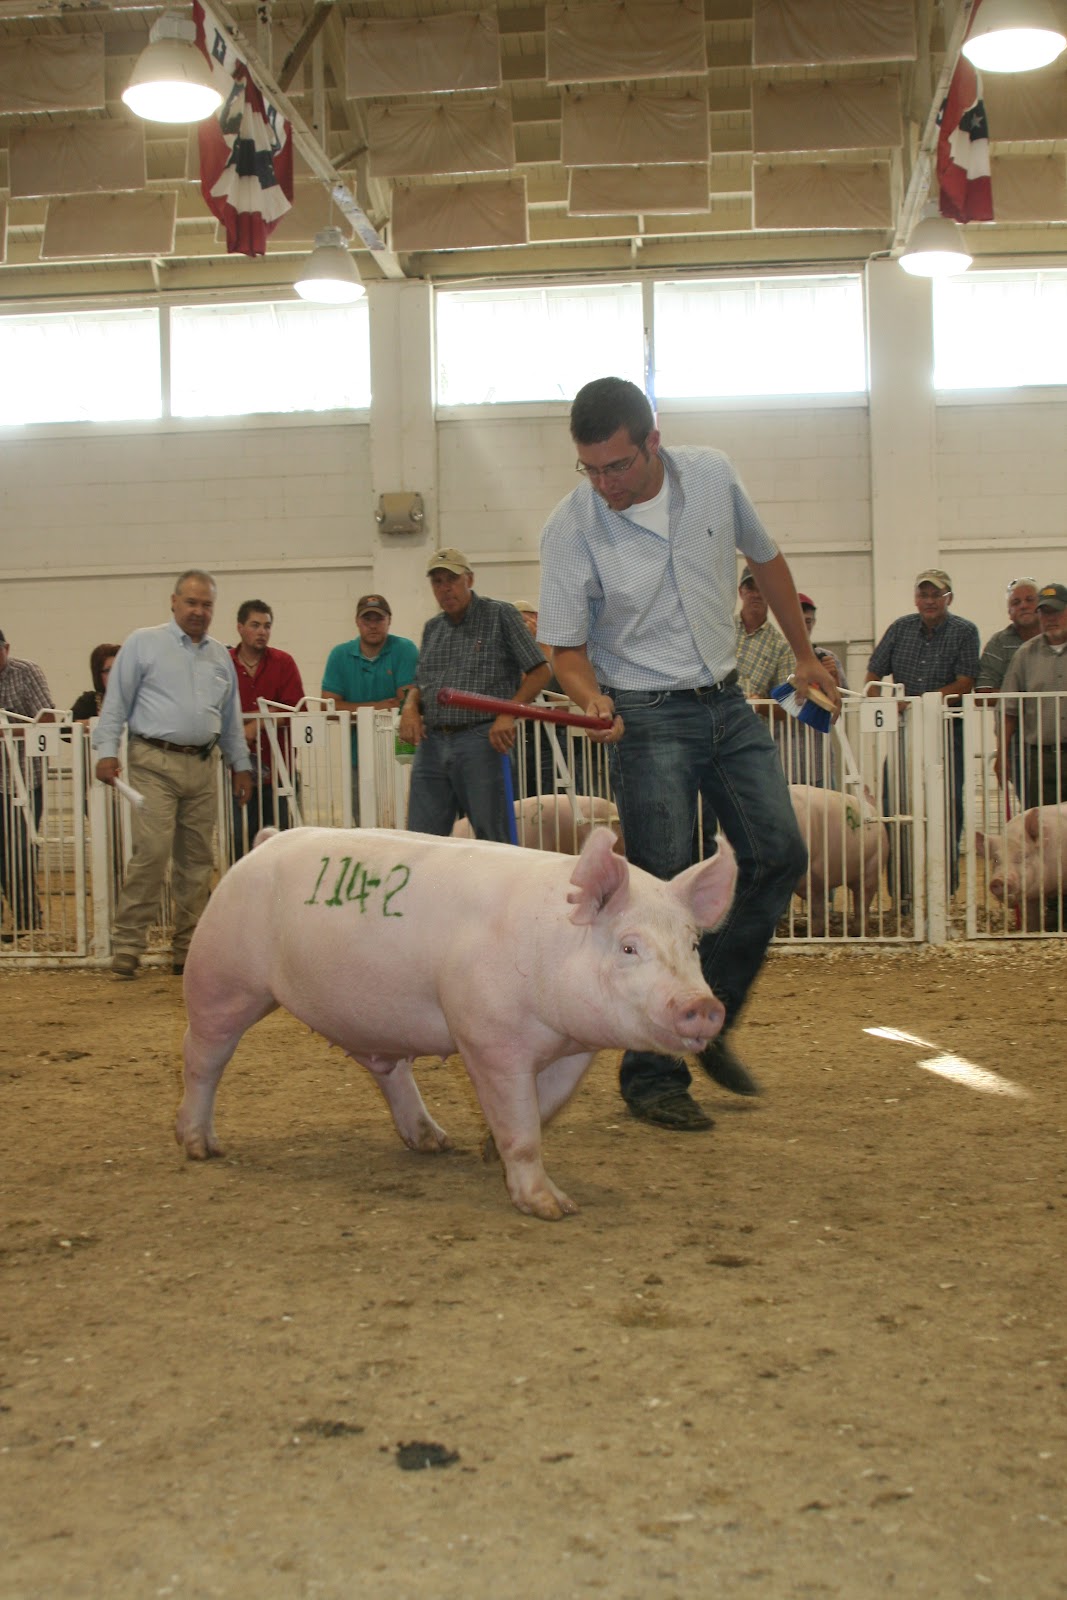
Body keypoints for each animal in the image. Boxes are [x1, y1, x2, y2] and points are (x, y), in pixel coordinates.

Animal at [175, 825, 736, 1220]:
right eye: (628, 947)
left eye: (692, 944)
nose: (704, 1006)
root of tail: (263, 843)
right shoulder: (487, 1038)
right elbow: (522, 1129)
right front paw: (553, 1208)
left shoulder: (574, 1052)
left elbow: (544, 1109)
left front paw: (487, 1149)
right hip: (222, 976)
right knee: (203, 1057)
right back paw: (200, 1147)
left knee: (390, 1072)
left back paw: (434, 1142)